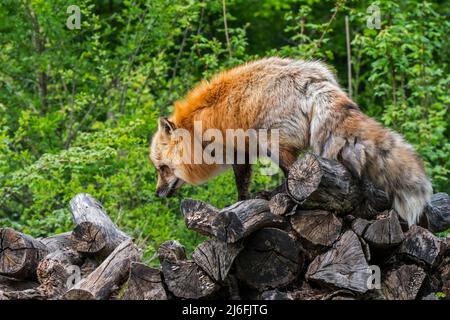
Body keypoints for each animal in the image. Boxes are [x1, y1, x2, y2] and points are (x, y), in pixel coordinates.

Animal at [151, 58, 432, 228]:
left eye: (162, 169)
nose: (157, 194)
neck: (196, 130)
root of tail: (312, 80)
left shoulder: (239, 151)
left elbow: (241, 188)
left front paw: (241, 203)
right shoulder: (245, 152)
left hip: (273, 144)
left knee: (291, 177)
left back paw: (276, 195)